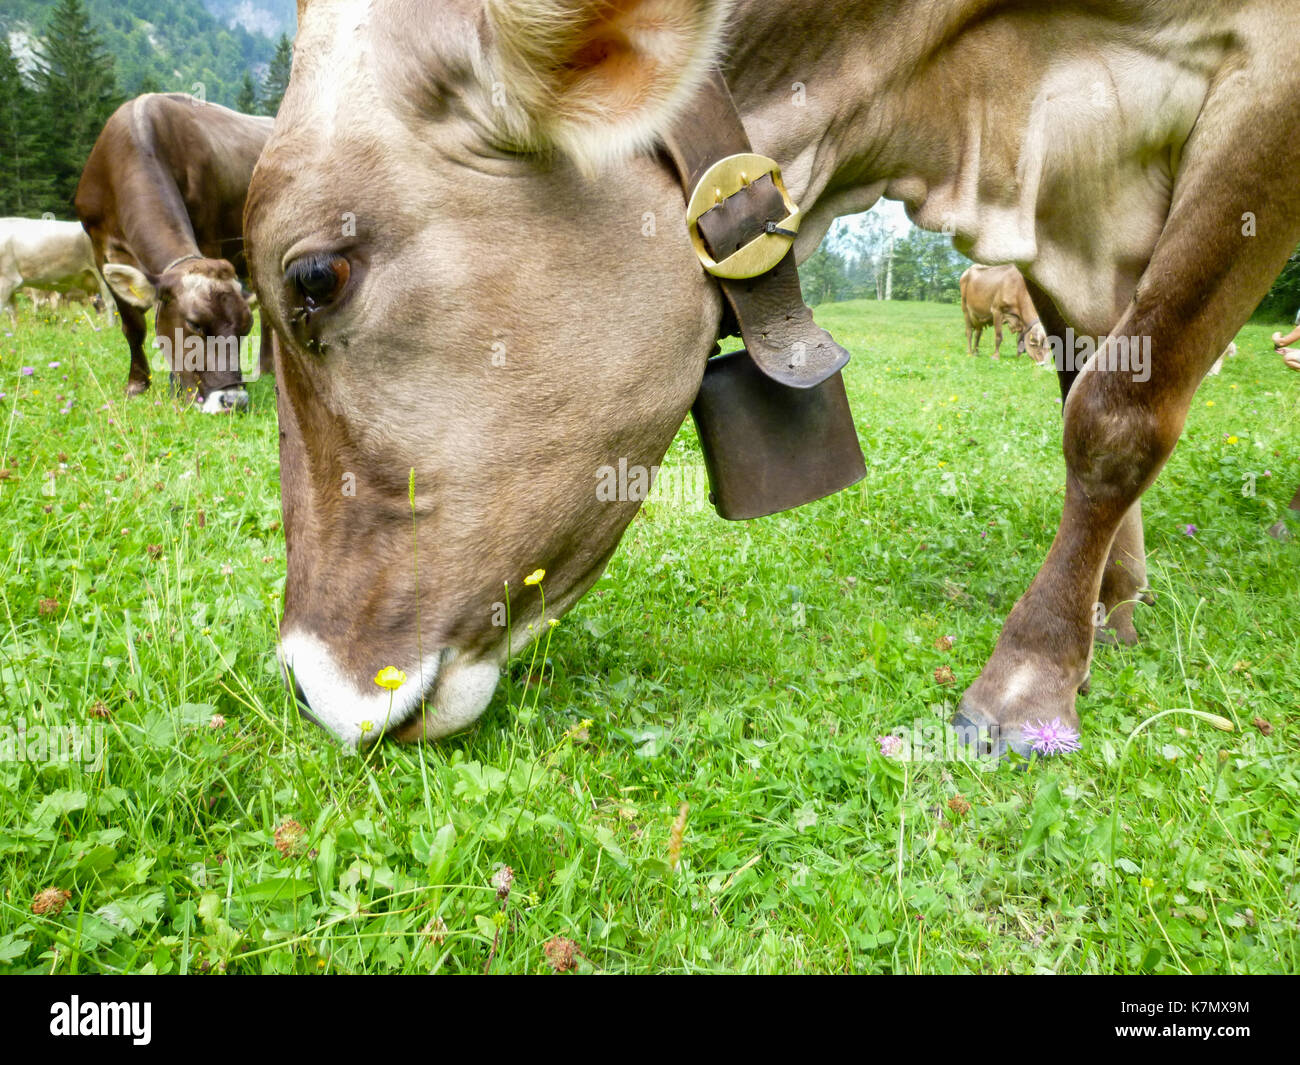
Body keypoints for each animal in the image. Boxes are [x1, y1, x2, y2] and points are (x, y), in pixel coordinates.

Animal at [76, 94, 274, 413]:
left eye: (245, 327)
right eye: (194, 324)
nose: (234, 400)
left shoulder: (209, 236)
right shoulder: (98, 248)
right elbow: (133, 326)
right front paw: (137, 384)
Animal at [244, 0, 1300, 756]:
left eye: (315, 277)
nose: (305, 683)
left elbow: (1117, 409)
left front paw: (1031, 675)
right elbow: (1086, 372)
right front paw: (1111, 606)